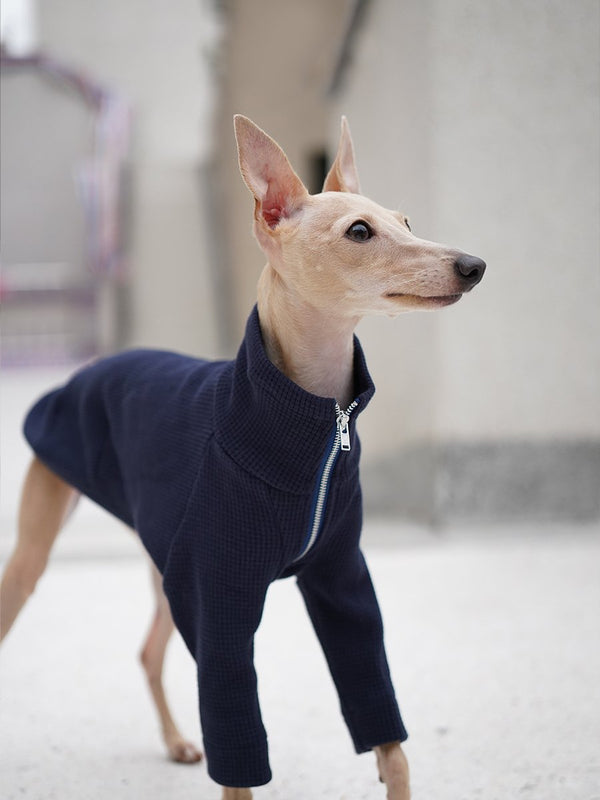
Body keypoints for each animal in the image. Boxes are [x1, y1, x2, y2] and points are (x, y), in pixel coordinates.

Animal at [1, 117, 488, 800]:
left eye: (407, 220)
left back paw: (177, 740)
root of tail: (96, 365)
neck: (316, 425)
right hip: (39, 545)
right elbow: (237, 746)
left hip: (165, 556)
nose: (473, 266)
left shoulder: (341, 580)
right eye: (358, 231)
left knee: (149, 651)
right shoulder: (219, 602)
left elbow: (386, 732)